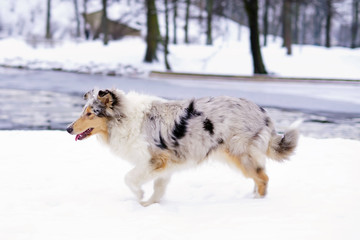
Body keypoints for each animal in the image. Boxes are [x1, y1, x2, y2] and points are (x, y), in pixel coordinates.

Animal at [67, 88, 298, 206]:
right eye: (84, 111)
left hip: (240, 155)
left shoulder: (154, 160)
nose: (68, 129)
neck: (124, 118)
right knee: (260, 177)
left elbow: (129, 178)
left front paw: (139, 197)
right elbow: (158, 189)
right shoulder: (165, 165)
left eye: (90, 113)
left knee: (263, 178)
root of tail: (264, 113)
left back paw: (255, 204)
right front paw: (149, 205)